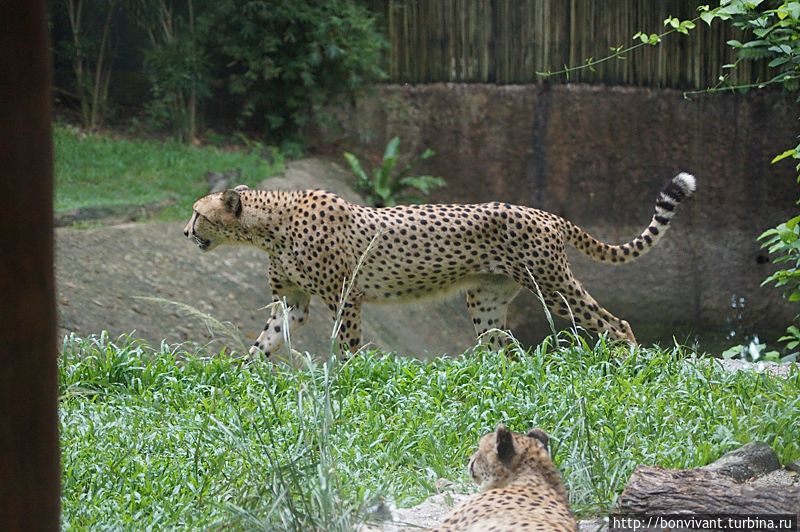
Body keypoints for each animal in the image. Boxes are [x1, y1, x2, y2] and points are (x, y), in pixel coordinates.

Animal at [183, 172, 692, 356]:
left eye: (196, 213)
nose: (185, 233)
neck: (270, 223)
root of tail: (545, 213)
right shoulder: (293, 302)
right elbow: (264, 342)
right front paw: (238, 378)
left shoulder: (345, 298)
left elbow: (346, 348)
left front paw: (347, 381)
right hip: (486, 300)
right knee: (505, 349)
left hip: (553, 288)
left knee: (615, 322)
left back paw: (630, 363)